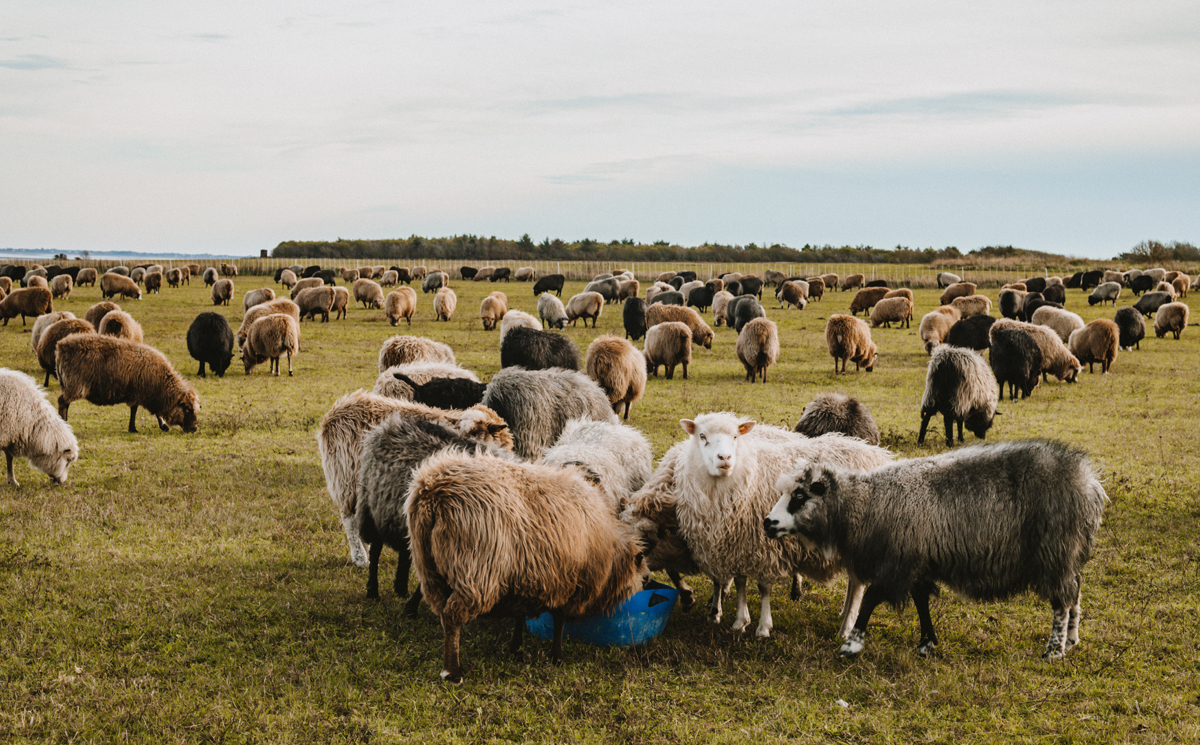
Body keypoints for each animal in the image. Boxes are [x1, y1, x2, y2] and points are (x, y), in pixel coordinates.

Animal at [56, 333, 200, 431]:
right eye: (187, 410)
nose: (194, 429)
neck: (162, 383)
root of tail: (61, 347)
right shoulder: (143, 393)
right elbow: (140, 410)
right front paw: (139, 428)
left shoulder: (144, 394)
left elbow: (139, 410)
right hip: (75, 385)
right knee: (62, 402)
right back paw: (64, 423)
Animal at [403, 443, 648, 681]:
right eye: (642, 574)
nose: (646, 582)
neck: (610, 546)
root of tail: (433, 493)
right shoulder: (567, 581)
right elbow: (559, 621)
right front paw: (557, 657)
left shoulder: (524, 575)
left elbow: (519, 615)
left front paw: (516, 646)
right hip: (475, 568)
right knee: (453, 616)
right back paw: (452, 671)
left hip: (428, 568)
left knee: (443, 614)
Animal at [763, 439, 1108, 657]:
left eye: (799, 497)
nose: (768, 522)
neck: (867, 504)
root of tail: (1089, 483)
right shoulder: (918, 562)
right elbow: (921, 602)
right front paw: (927, 643)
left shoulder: (899, 561)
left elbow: (872, 598)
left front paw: (852, 645)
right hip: (1068, 556)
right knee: (1075, 591)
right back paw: (1072, 639)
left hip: (1055, 552)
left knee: (1061, 601)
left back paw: (1054, 650)